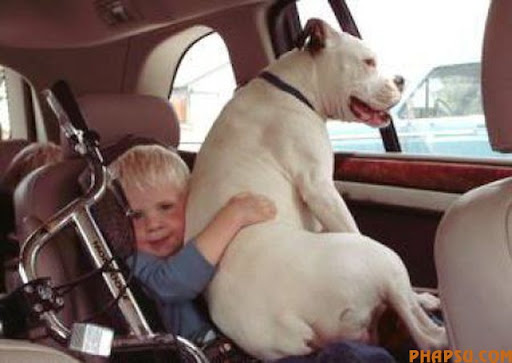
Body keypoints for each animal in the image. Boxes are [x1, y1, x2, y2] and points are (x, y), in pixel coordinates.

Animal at [185, 18, 448, 360]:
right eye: (368, 62)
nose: (401, 80)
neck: (296, 87)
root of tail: (289, 322)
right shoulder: (320, 188)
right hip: (381, 258)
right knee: (427, 335)